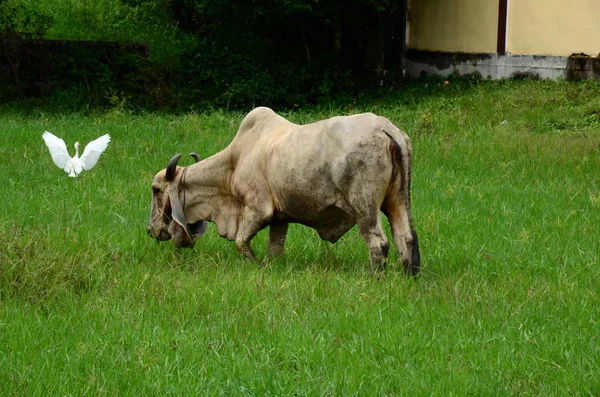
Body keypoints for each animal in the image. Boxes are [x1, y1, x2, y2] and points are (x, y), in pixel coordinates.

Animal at [148, 106, 420, 272]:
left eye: (155, 190)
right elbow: (275, 249)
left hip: (365, 208)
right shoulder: (280, 218)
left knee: (379, 243)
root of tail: (386, 128)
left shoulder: (257, 210)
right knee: (406, 238)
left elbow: (241, 243)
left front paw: (258, 266)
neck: (235, 161)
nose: (151, 230)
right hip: (397, 200)